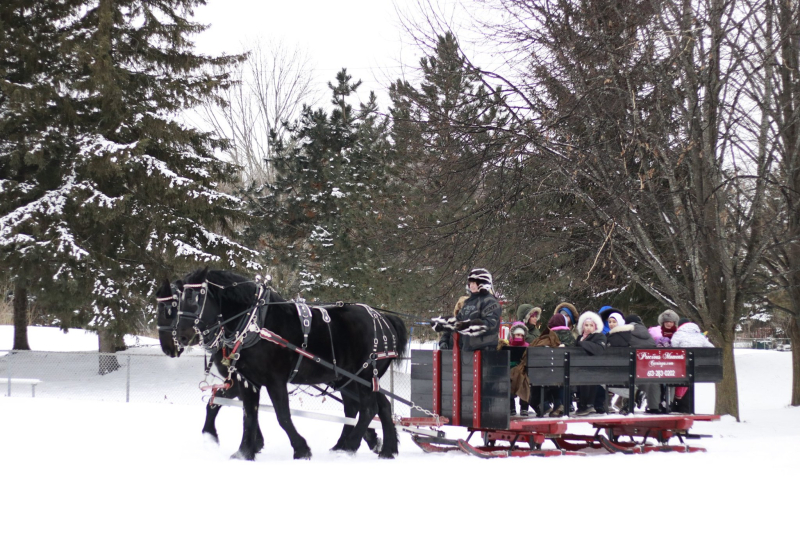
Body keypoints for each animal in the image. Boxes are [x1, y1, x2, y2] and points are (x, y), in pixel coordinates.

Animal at [168, 268, 406, 460]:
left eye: (195, 299)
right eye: (178, 300)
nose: (180, 335)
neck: (256, 324)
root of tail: (384, 319)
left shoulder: (275, 380)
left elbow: (282, 416)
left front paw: (301, 449)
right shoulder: (247, 381)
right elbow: (248, 416)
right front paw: (244, 452)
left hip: (364, 376)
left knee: (368, 408)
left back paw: (349, 448)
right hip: (351, 379)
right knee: (378, 406)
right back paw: (386, 449)